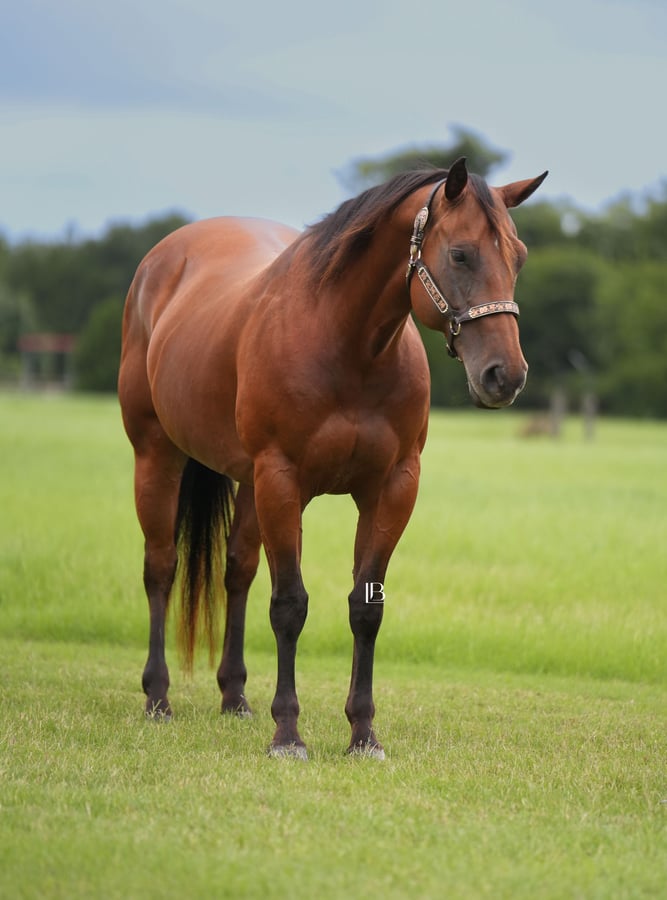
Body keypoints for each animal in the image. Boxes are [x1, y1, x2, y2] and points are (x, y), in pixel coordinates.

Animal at [118, 157, 547, 759]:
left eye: (519, 256)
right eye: (461, 253)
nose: (504, 375)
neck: (347, 345)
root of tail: (163, 260)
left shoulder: (391, 488)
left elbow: (366, 608)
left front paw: (363, 734)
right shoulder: (283, 481)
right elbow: (289, 605)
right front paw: (288, 734)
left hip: (248, 483)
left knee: (237, 572)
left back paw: (235, 697)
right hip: (157, 456)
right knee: (161, 568)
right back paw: (158, 698)